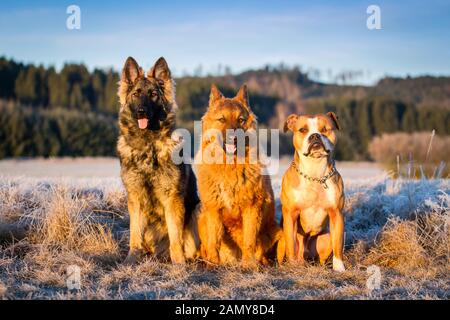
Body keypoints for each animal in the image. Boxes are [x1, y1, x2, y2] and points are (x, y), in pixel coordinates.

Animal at [196, 83, 282, 268]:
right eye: (222, 120)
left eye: (241, 120)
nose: (234, 138)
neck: (229, 167)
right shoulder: (213, 210)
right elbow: (214, 241)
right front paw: (213, 264)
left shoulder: (252, 208)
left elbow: (249, 239)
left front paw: (248, 264)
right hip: (202, 219)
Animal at [280, 111, 346, 272]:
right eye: (303, 130)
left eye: (325, 129)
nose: (315, 136)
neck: (314, 173)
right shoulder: (290, 214)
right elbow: (291, 244)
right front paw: (291, 266)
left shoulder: (336, 213)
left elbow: (338, 244)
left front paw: (339, 267)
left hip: (326, 238)